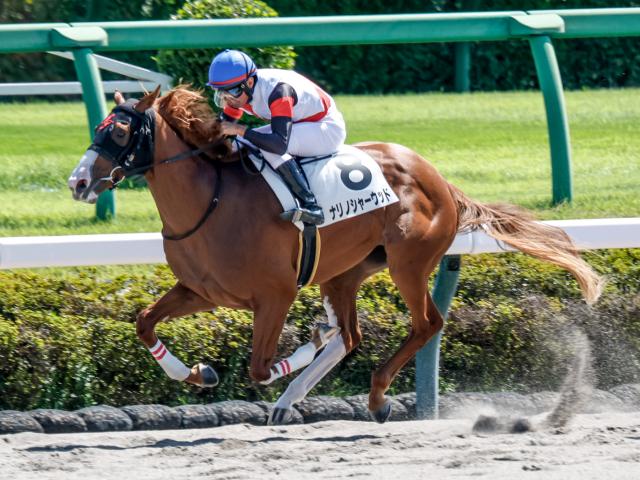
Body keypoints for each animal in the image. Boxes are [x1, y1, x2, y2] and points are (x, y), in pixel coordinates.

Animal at [68, 86, 603, 425]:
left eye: (119, 133)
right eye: (97, 126)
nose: (78, 182)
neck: (210, 202)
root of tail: (438, 178)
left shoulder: (276, 295)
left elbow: (259, 367)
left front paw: (302, 346)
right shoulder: (202, 290)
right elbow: (144, 323)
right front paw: (199, 373)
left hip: (409, 263)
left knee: (426, 324)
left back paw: (376, 395)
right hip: (344, 272)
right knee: (351, 335)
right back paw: (296, 396)